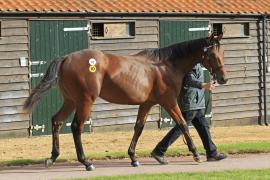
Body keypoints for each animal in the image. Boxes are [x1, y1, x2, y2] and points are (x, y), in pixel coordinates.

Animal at [23, 33, 227, 170]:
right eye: (213, 55)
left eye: (222, 53)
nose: (223, 78)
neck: (165, 66)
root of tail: (66, 58)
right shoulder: (169, 102)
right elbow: (183, 124)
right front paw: (196, 154)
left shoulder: (146, 103)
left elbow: (139, 127)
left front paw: (134, 158)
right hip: (84, 101)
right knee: (76, 127)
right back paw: (86, 162)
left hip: (71, 100)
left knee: (57, 121)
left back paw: (52, 157)